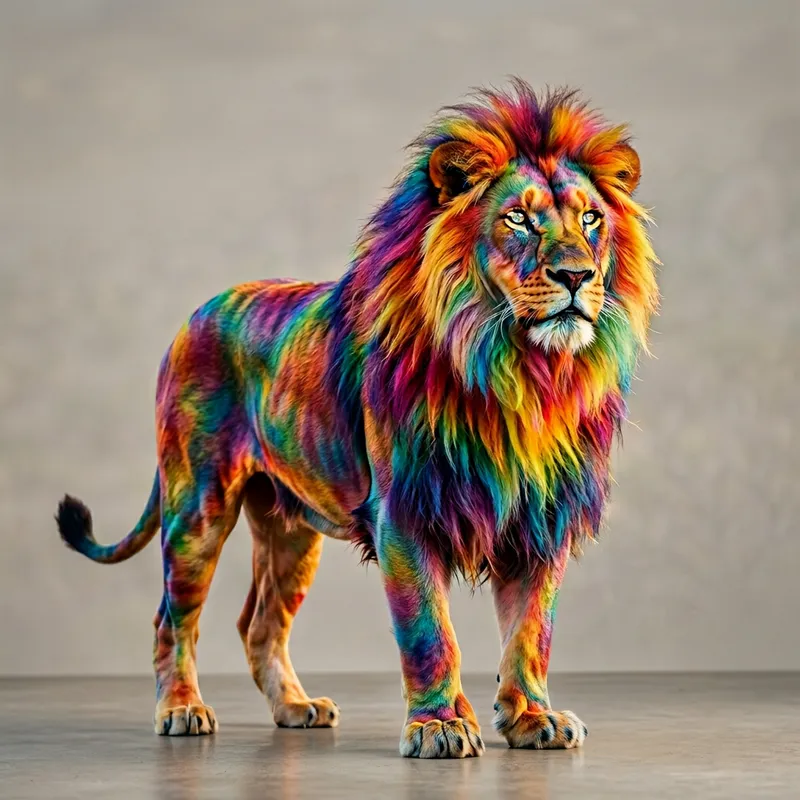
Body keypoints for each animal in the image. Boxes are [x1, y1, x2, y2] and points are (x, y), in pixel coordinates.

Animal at [56, 80, 659, 758]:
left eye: (590, 220)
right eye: (519, 219)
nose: (577, 275)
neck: (519, 372)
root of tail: (194, 316)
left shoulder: (541, 518)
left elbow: (531, 633)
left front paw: (534, 718)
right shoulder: (404, 513)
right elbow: (429, 632)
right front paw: (440, 726)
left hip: (290, 530)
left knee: (258, 623)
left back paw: (296, 707)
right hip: (197, 508)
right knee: (173, 618)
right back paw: (183, 709)